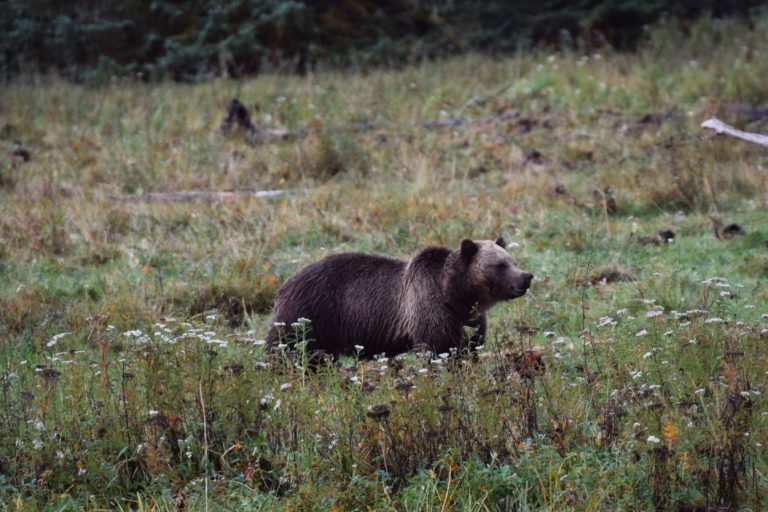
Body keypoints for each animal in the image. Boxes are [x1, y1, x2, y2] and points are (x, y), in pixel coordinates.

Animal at [266, 238, 533, 358]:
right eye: (500, 265)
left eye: (512, 261)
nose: (526, 277)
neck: (455, 295)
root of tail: (285, 283)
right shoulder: (428, 309)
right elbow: (440, 348)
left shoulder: (471, 319)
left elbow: (470, 346)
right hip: (310, 313)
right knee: (286, 348)